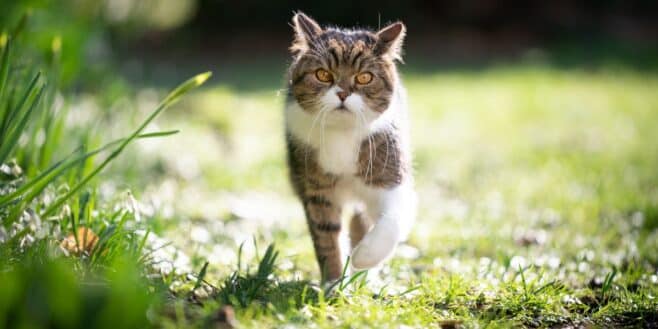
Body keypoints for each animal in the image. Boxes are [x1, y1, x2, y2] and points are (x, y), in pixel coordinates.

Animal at [284, 12, 416, 282]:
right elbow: (327, 238)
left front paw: (364, 257)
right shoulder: (316, 191)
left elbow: (391, 221)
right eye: (323, 74)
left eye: (364, 77)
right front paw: (333, 282)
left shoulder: (392, 178)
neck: (342, 133)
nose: (343, 93)